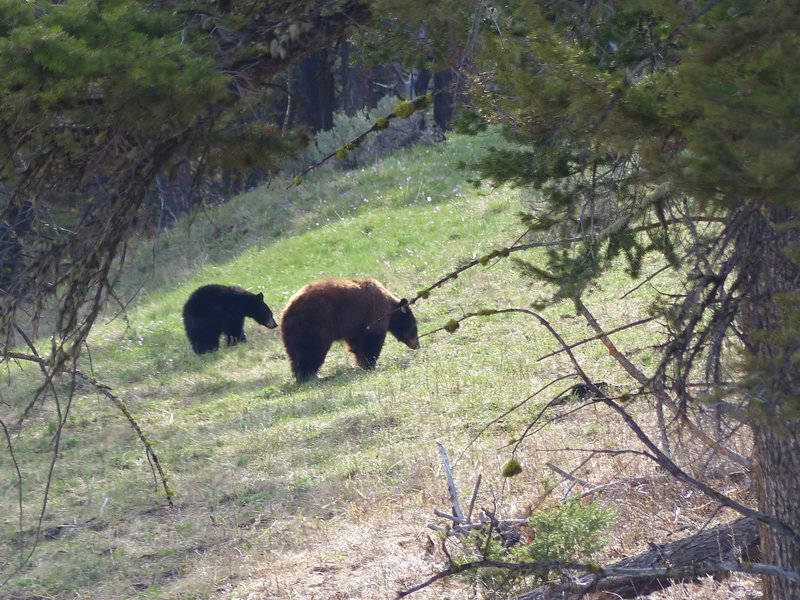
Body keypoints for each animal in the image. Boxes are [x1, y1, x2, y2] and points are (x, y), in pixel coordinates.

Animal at [280, 278, 418, 382]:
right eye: (414, 328)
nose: (417, 345)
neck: (389, 306)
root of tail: (286, 312)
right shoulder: (375, 312)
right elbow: (372, 339)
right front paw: (371, 363)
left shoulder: (356, 325)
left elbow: (356, 343)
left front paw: (362, 363)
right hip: (314, 325)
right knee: (313, 349)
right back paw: (313, 376)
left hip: (293, 334)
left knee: (296, 354)